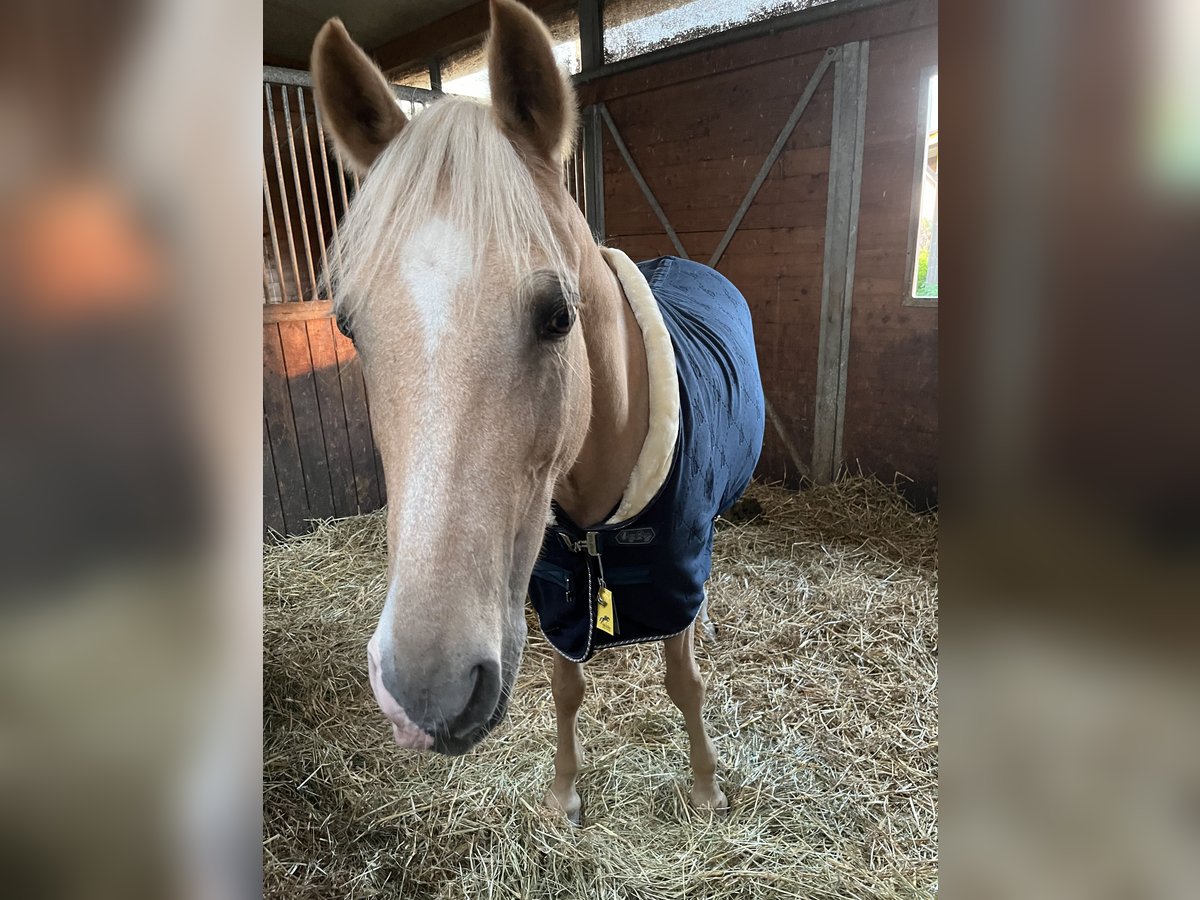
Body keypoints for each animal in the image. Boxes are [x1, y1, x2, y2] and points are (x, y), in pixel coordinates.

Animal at [309, 0, 758, 825]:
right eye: (349, 325)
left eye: (557, 316)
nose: (428, 694)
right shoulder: (553, 594)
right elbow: (566, 685)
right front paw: (563, 794)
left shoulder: (679, 565)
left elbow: (683, 681)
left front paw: (708, 788)